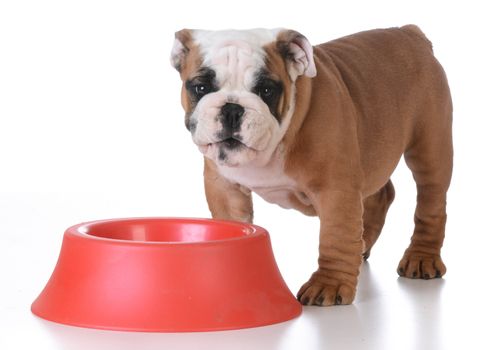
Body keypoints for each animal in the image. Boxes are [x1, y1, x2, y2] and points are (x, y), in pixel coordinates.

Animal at [169, 26, 452, 306]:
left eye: (267, 90)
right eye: (200, 87)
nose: (231, 108)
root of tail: (409, 32)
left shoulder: (335, 190)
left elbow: (335, 236)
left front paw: (330, 283)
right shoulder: (224, 186)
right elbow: (232, 220)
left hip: (430, 149)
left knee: (430, 203)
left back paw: (421, 257)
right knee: (380, 195)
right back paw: (362, 246)